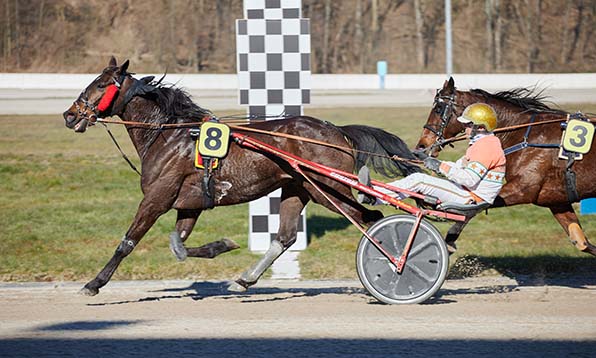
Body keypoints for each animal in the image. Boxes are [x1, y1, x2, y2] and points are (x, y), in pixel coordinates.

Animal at [60, 57, 416, 296]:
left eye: (100, 85)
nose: (70, 115)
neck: (169, 135)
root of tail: (337, 130)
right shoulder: (189, 203)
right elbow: (178, 245)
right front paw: (222, 246)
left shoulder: (156, 198)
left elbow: (127, 243)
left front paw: (94, 283)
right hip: (298, 189)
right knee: (285, 237)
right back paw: (245, 278)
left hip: (328, 189)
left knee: (371, 218)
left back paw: (395, 265)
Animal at [414, 78, 596, 256]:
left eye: (438, 109)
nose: (421, 145)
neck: (523, 134)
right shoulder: (556, 200)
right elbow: (583, 243)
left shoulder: (523, 189)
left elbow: (471, 209)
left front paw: (449, 240)